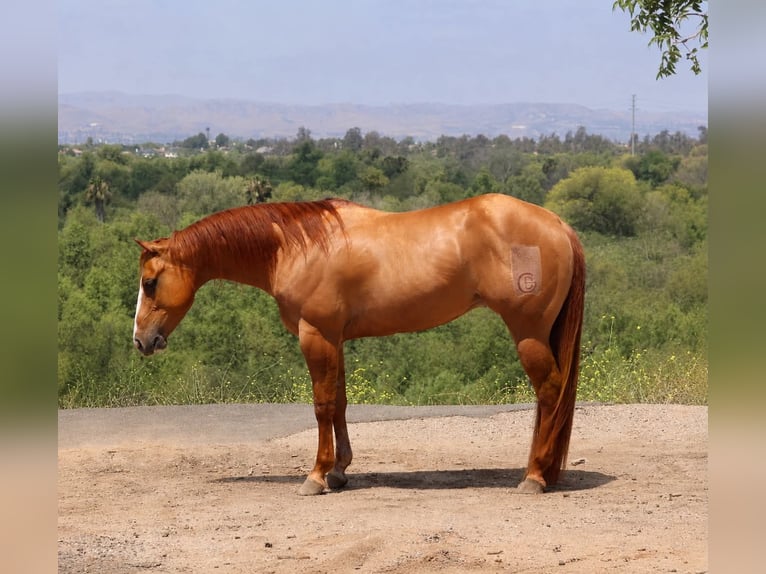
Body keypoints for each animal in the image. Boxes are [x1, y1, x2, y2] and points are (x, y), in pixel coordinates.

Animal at [133, 193, 585, 496]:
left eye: (149, 282)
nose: (141, 341)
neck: (297, 246)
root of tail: (557, 225)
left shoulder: (315, 335)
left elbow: (321, 405)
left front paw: (316, 476)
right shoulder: (334, 338)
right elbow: (340, 402)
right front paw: (338, 471)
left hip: (528, 333)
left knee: (550, 391)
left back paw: (535, 477)